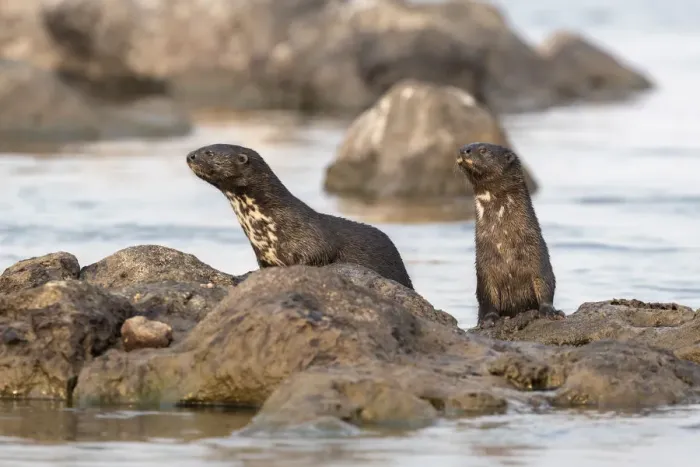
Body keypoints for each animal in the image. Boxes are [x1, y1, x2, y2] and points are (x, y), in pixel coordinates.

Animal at [186, 143, 414, 289]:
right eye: (202, 148)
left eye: (209, 152)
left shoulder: (313, 241)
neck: (263, 225)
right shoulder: (263, 256)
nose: (190, 156)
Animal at [456, 142, 564, 328]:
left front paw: (551, 311)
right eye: (466, 145)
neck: (505, 243)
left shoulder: (538, 255)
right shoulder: (484, 265)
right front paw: (488, 320)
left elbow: (546, 283)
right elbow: (486, 297)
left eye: (483, 150)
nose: (464, 150)